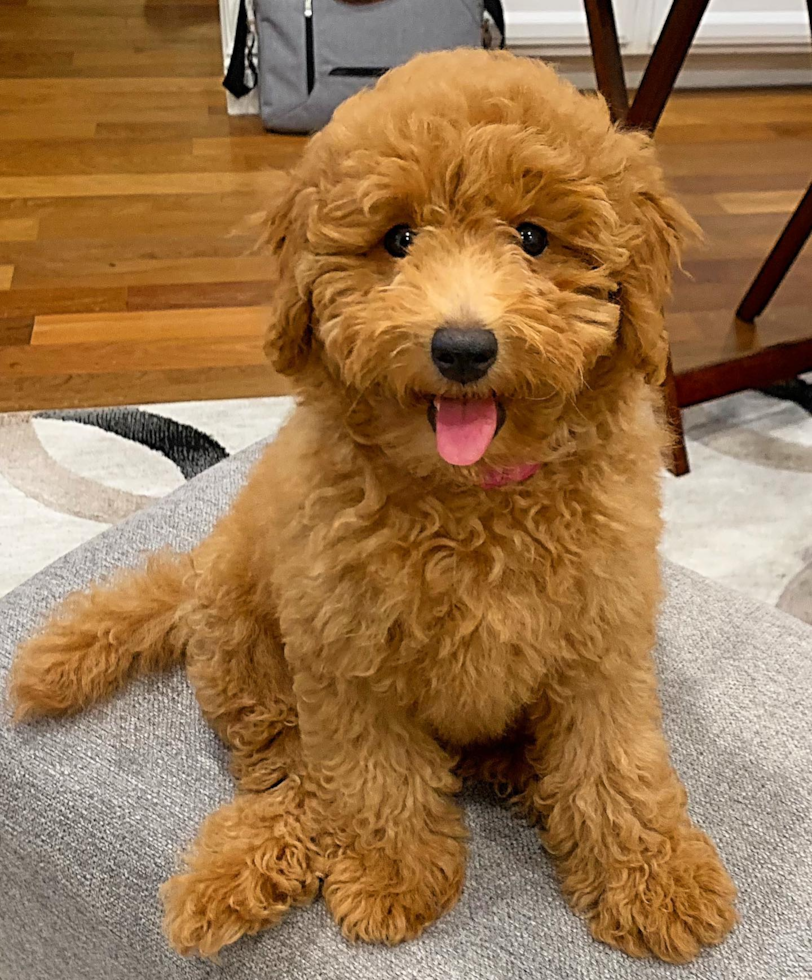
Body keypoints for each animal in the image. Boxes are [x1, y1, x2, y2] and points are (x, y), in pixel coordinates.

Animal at [4, 47, 736, 964]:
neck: (470, 498)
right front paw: (394, 881)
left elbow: (617, 765)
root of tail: (197, 571)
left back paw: (516, 769)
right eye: (398, 239)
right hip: (251, 658)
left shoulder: (601, 645)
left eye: (533, 236)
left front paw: (656, 881)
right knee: (293, 773)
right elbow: (375, 778)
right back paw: (235, 875)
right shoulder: (347, 661)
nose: (463, 347)